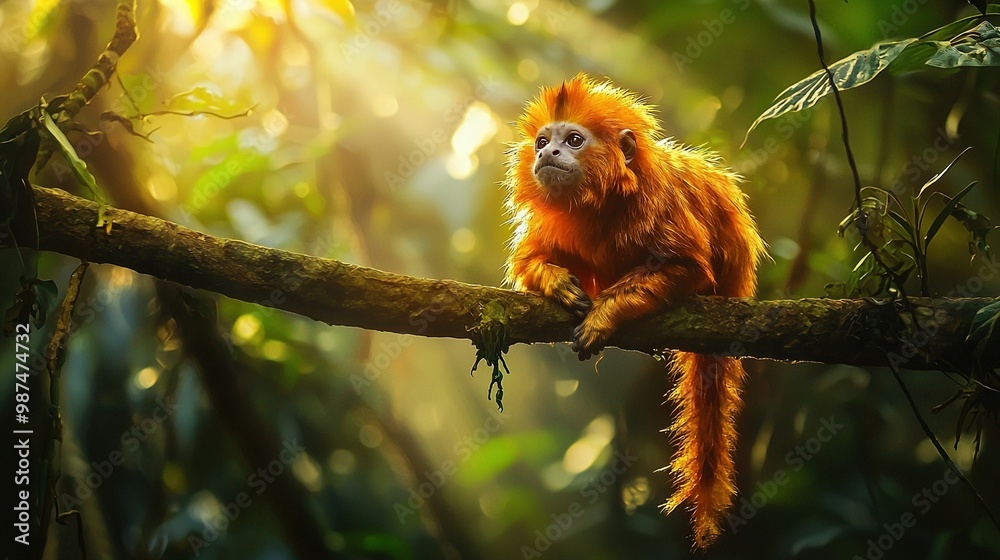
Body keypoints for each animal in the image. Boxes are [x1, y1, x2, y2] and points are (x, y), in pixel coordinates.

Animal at [503, 74, 767, 548]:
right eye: (541, 142)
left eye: (573, 140)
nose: (548, 154)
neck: (598, 202)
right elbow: (529, 262)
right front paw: (558, 284)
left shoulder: (657, 202)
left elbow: (686, 267)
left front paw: (604, 316)